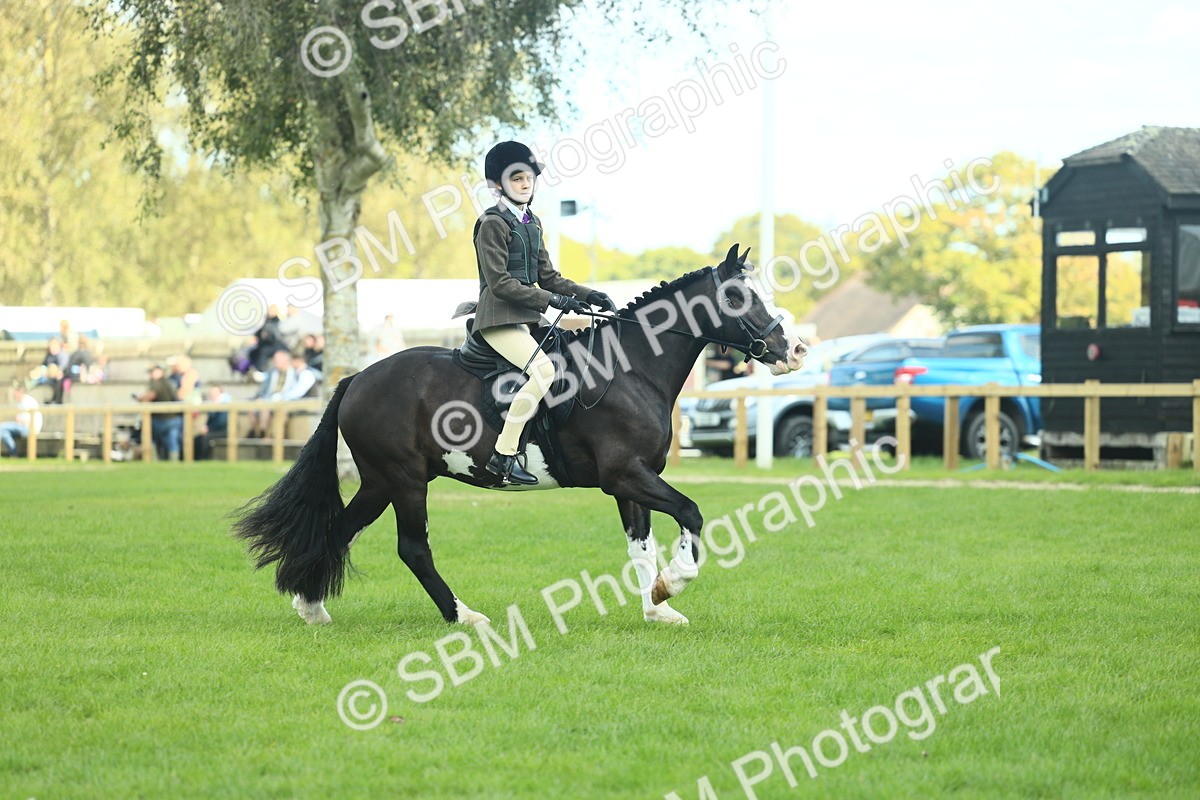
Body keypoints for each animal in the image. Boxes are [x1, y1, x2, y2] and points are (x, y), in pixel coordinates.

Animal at [233, 244, 807, 626]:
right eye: (739, 296)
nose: (797, 350)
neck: (629, 370)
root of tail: (358, 378)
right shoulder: (625, 474)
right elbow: (690, 513)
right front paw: (674, 584)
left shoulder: (632, 481)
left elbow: (640, 546)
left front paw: (656, 608)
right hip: (404, 480)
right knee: (412, 548)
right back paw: (465, 617)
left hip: (379, 481)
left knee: (342, 528)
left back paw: (311, 605)